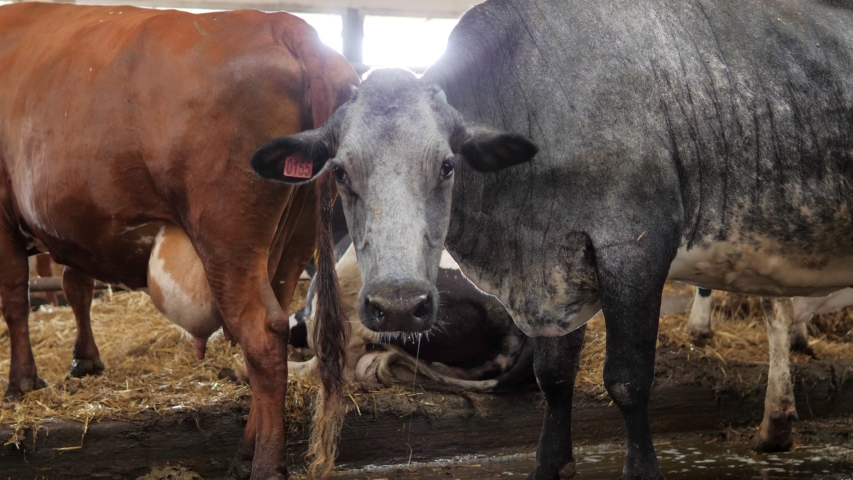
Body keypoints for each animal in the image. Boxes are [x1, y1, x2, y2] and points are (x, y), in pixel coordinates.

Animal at [0, 4, 358, 478]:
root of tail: (284, 23)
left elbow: (16, 300)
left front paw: (22, 381)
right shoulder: (74, 223)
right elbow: (77, 287)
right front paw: (85, 361)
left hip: (226, 239)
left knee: (262, 336)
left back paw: (264, 462)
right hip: (290, 244)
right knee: (276, 326)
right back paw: (248, 448)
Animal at [250, 0, 853, 478]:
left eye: (448, 165)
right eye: (339, 171)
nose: (398, 304)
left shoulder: (635, 248)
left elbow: (628, 381)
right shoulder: (554, 268)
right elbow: (554, 380)